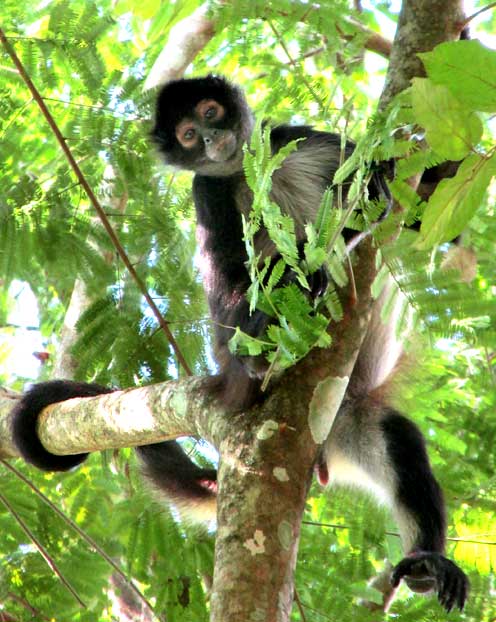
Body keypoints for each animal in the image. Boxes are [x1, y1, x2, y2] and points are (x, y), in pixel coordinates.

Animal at [12, 74, 468, 616]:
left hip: (352, 417)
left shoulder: (288, 137)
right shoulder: (207, 189)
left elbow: (430, 220)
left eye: (210, 113)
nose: (211, 138)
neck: (243, 168)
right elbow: (227, 276)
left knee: (399, 444)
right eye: (188, 135)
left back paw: (427, 564)